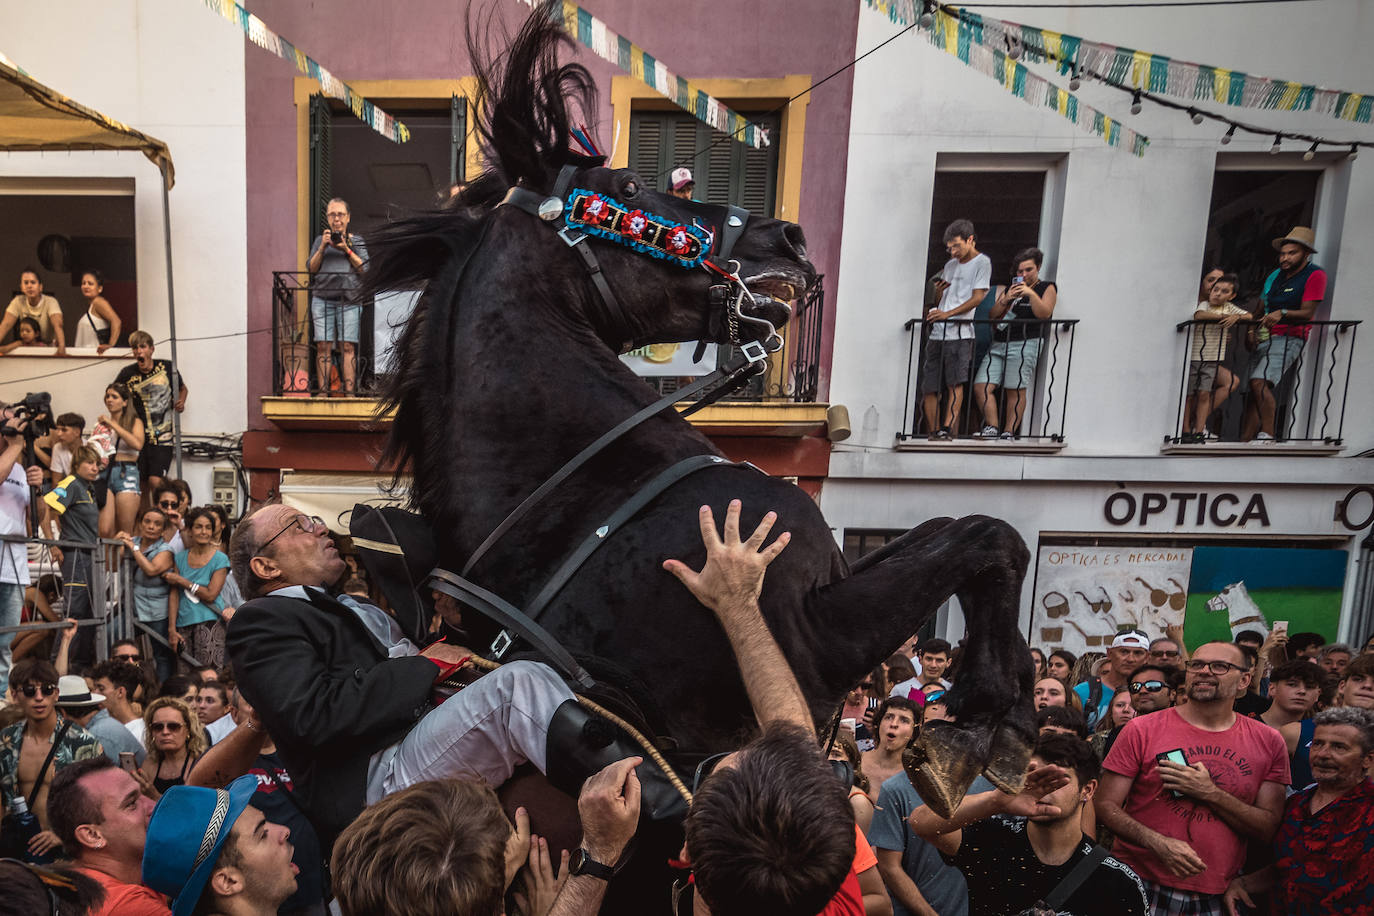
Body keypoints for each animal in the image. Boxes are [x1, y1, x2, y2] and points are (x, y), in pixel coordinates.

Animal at [362, 5, 1033, 911]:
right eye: (627, 188)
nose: (790, 236)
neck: (589, 495)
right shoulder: (810, 641)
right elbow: (985, 535)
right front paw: (984, 721)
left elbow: (963, 527)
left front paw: (990, 718)